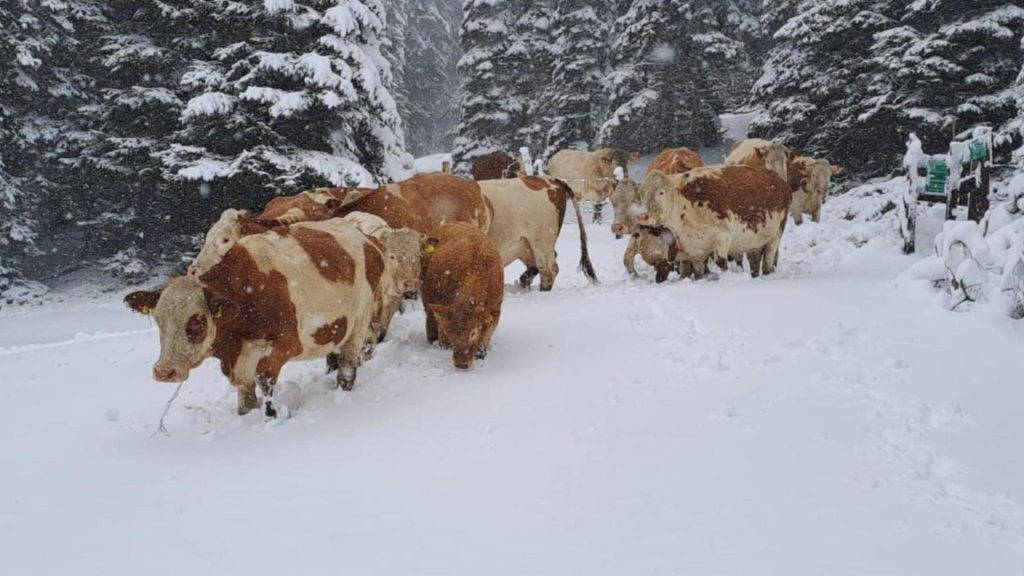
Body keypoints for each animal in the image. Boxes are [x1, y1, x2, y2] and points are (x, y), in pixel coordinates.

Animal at [122, 218, 391, 412]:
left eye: (197, 321)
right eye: (159, 321)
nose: (164, 372)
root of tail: (366, 238)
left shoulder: (282, 348)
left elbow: (267, 388)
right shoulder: (238, 363)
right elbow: (246, 401)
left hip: (359, 324)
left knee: (347, 367)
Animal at [419, 222, 503, 368]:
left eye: (473, 332)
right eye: (451, 332)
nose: (461, 363)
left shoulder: (495, 310)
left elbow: (485, 336)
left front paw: (480, 353)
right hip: (427, 298)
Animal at [634, 166, 794, 278]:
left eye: (661, 192)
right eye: (642, 194)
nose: (643, 216)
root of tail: (780, 181)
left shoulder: (723, 237)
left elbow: (721, 262)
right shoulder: (693, 248)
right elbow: (698, 272)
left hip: (776, 235)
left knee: (768, 262)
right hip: (754, 242)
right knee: (754, 261)